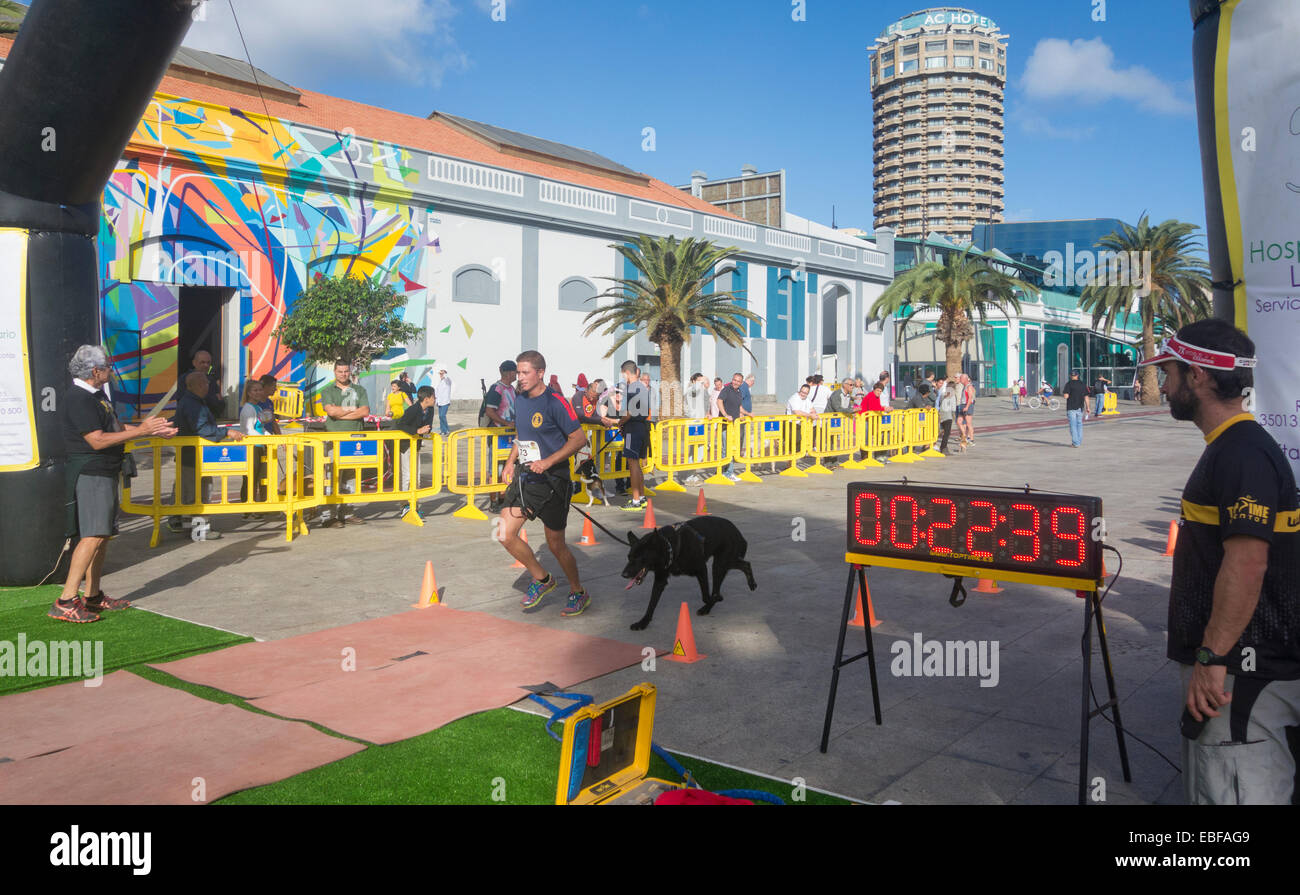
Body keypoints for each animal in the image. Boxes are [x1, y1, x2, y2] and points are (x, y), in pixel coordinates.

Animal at [621, 515, 759, 632]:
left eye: (639, 558)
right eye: (629, 557)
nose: (624, 575)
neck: (670, 546)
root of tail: (737, 531)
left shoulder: (701, 569)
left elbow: (706, 596)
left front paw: (712, 601)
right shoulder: (660, 579)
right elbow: (651, 604)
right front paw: (643, 622)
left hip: (720, 564)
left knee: (722, 581)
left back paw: (709, 606)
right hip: (725, 562)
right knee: (744, 564)